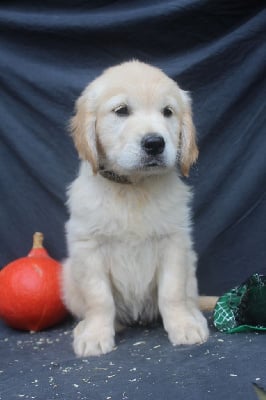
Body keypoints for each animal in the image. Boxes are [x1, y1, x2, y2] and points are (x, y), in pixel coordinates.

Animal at [61, 60, 208, 356]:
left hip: (191, 264)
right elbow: (99, 298)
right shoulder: (88, 246)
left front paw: (184, 326)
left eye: (167, 112)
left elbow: (172, 293)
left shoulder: (174, 242)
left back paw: (194, 316)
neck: (133, 187)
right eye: (121, 111)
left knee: (189, 296)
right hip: (68, 277)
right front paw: (95, 334)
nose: (154, 143)